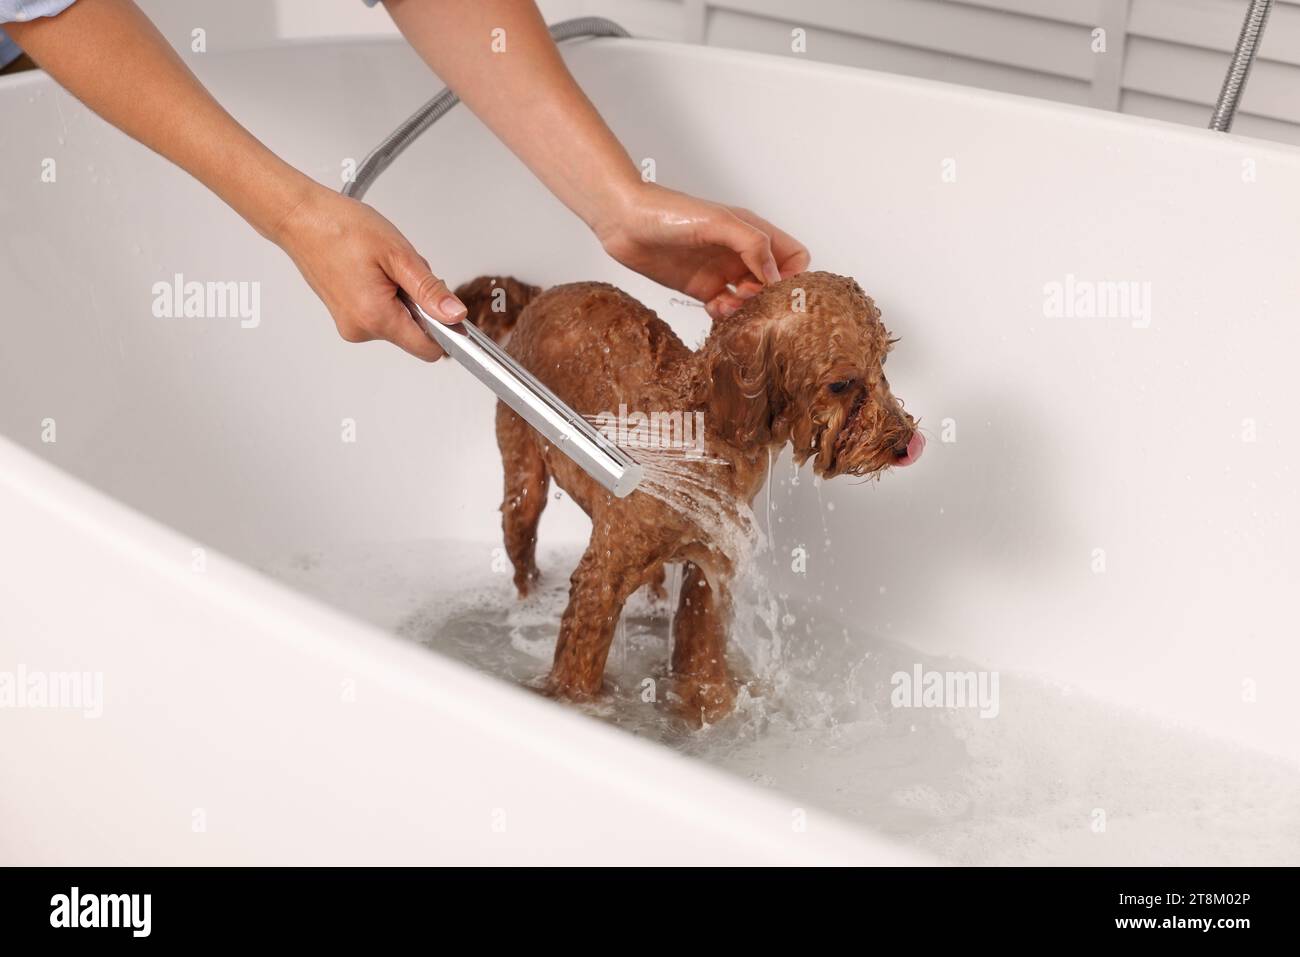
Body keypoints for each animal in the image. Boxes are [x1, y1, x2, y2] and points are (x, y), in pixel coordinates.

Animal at [457, 273, 925, 722]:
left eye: (883, 363)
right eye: (841, 384)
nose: (906, 442)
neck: (702, 427)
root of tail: (540, 293)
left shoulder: (711, 558)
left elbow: (700, 649)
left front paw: (708, 708)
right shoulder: (601, 577)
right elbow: (578, 669)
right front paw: (576, 707)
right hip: (523, 483)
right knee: (522, 549)